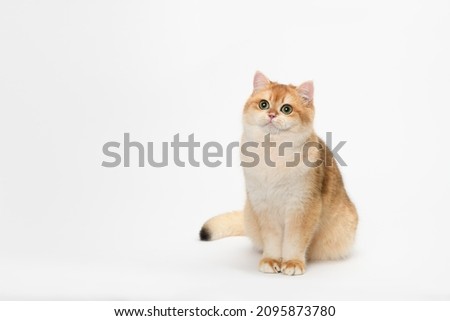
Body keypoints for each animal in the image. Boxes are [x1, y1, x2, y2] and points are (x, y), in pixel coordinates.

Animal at [200, 71, 358, 274]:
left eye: (286, 109)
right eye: (264, 104)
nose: (271, 114)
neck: (273, 152)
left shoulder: (302, 206)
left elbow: (295, 241)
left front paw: (292, 263)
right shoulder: (263, 206)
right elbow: (272, 240)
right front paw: (271, 260)